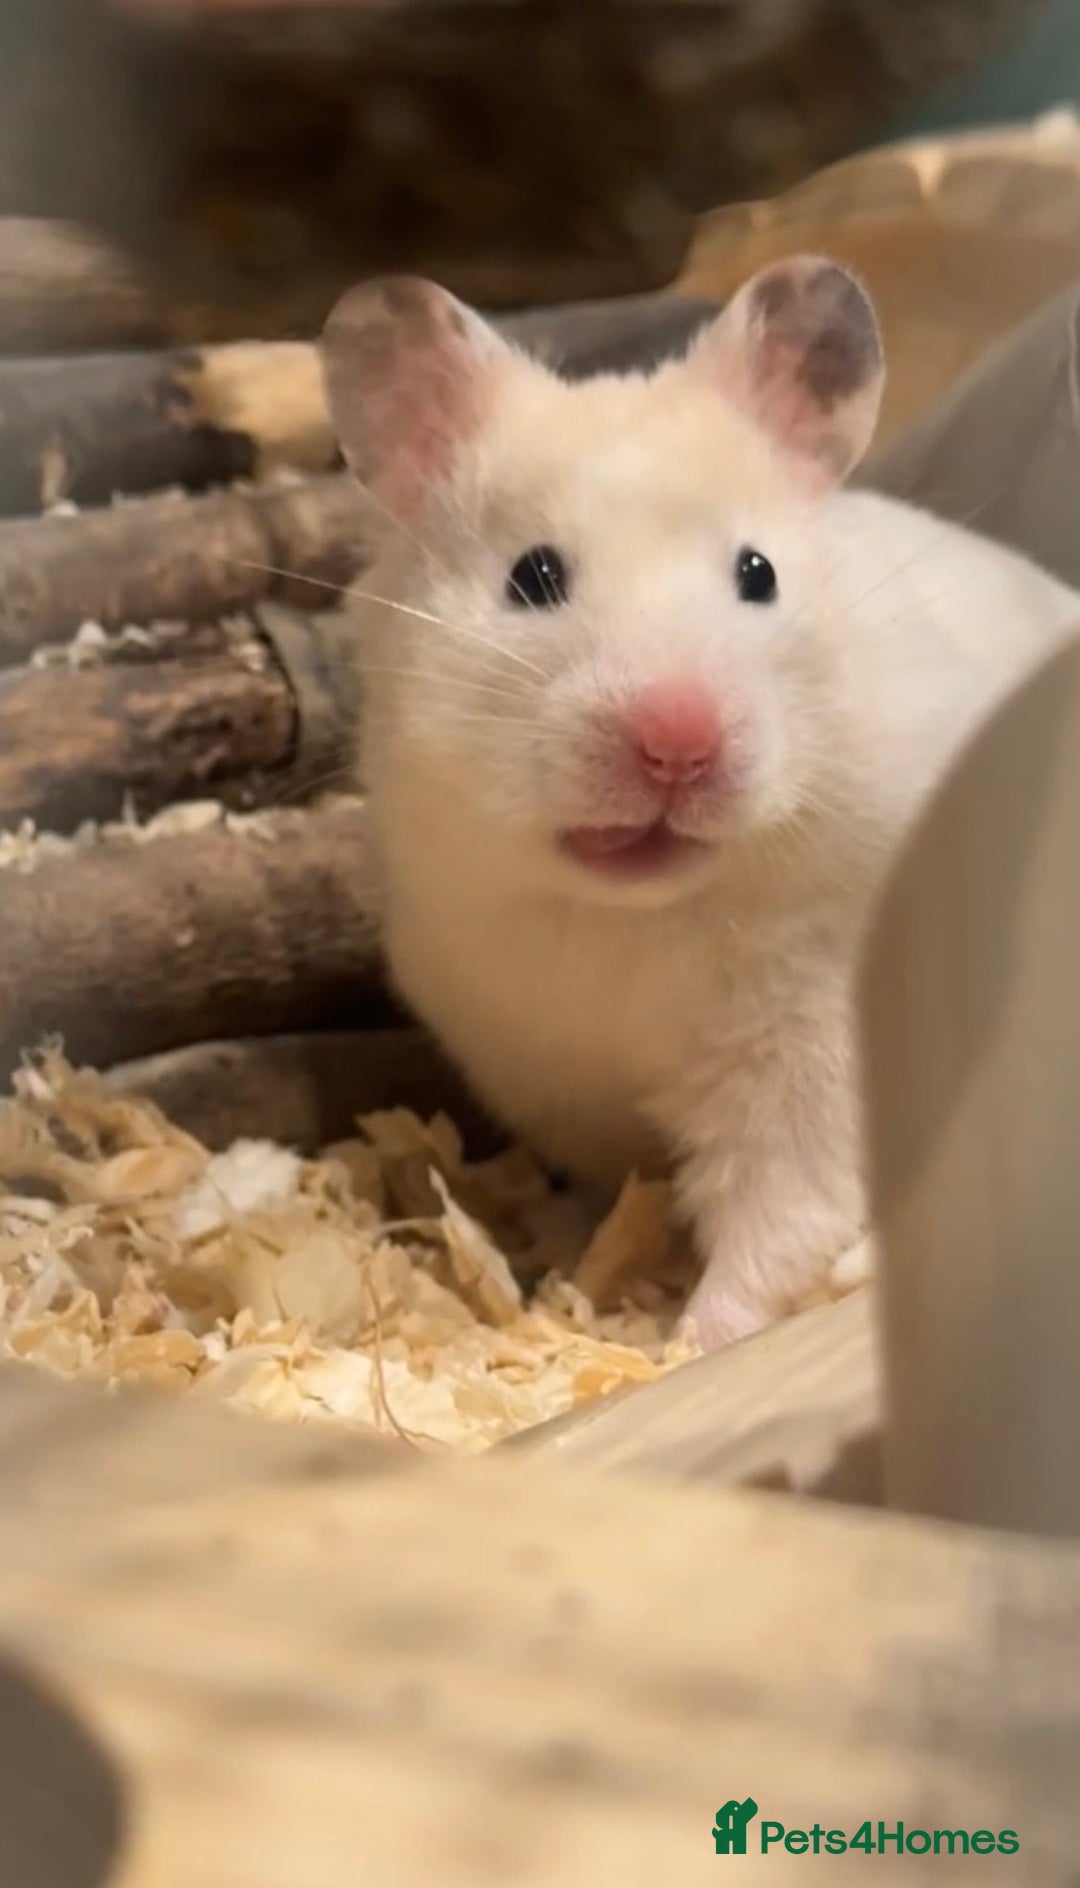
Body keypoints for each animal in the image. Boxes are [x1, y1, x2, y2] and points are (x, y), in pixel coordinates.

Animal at [320, 257, 1080, 1349]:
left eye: (757, 573)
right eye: (533, 576)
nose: (677, 740)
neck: (638, 917)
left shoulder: (812, 1057)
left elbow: (782, 1212)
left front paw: (689, 1342)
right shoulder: (547, 1072)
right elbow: (610, 1191)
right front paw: (567, 1275)